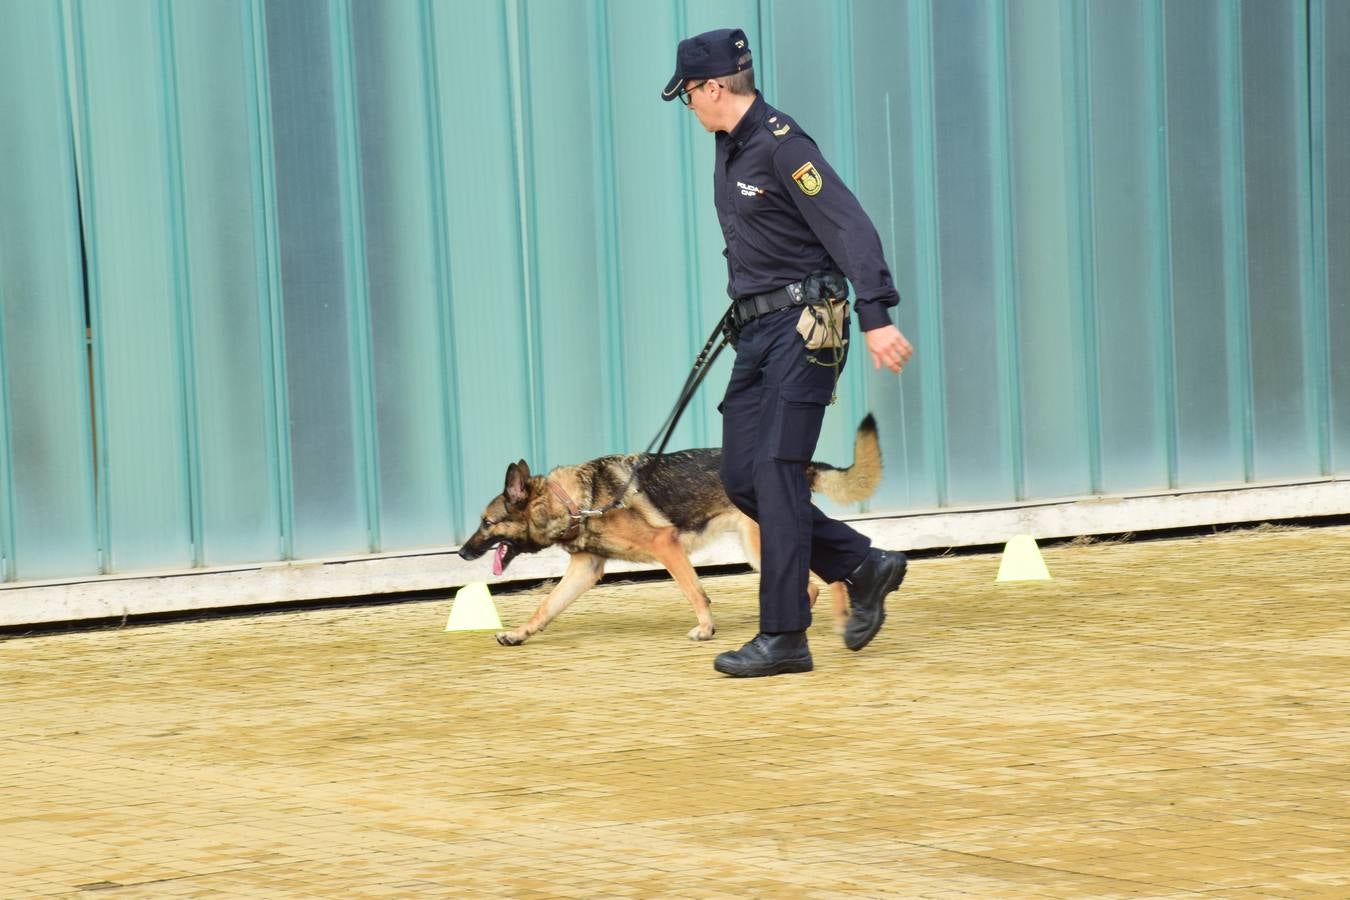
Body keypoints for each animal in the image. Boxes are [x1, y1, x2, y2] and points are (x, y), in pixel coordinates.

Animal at [459, 415, 885, 647]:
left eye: (486, 523)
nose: (461, 553)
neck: (572, 500)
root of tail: (799, 464)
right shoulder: (586, 569)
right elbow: (547, 605)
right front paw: (518, 633)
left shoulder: (666, 546)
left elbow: (695, 592)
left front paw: (706, 629)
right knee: (813, 582)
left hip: (760, 544)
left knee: (825, 579)